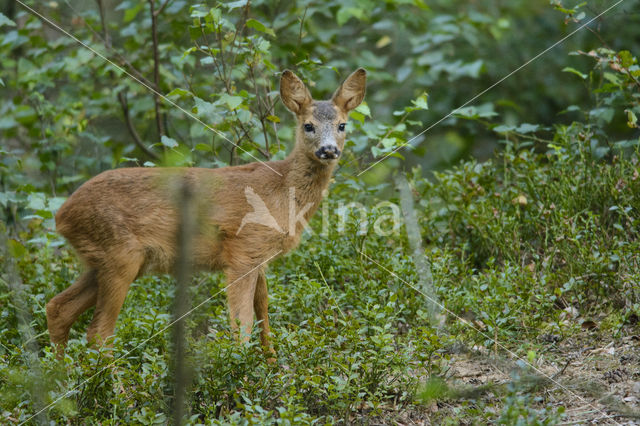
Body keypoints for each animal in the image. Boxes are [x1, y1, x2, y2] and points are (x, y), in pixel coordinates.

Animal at [47, 68, 368, 358]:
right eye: (308, 126)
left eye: (342, 125)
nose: (328, 150)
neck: (281, 190)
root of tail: (62, 215)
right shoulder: (243, 251)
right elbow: (242, 324)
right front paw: (242, 370)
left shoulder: (261, 257)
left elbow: (264, 315)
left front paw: (273, 366)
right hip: (120, 255)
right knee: (99, 332)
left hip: (104, 260)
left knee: (58, 309)